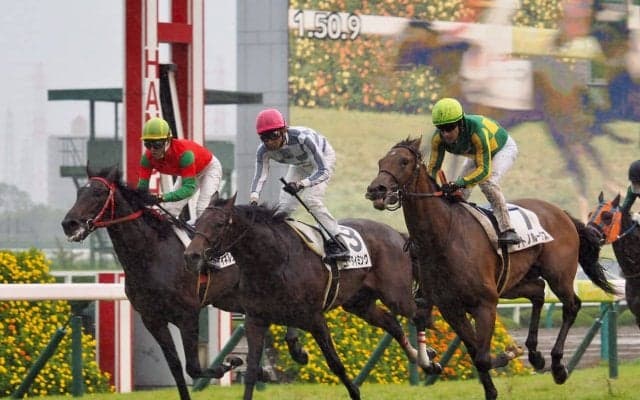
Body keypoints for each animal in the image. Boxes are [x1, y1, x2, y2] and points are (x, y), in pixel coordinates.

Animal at [60, 165, 309, 400]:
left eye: (99, 192)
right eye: (79, 192)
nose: (69, 223)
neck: (150, 254)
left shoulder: (187, 314)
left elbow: (194, 368)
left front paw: (232, 363)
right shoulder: (152, 319)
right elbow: (176, 368)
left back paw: (295, 349)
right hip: (235, 299)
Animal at [183, 193, 440, 400]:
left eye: (218, 224)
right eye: (197, 222)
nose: (192, 255)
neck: (274, 260)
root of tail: (396, 233)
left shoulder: (315, 318)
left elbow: (335, 363)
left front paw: (355, 392)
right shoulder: (255, 320)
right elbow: (252, 371)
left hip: (395, 295)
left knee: (419, 314)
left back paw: (429, 360)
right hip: (359, 304)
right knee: (392, 323)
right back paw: (421, 358)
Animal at [365, 138, 617, 400]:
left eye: (404, 161)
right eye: (381, 162)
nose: (376, 189)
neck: (444, 236)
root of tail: (562, 213)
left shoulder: (485, 303)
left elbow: (483, 358)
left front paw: (509, 353)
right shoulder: (451, 308)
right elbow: (475, 353)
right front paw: (494, 384)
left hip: (559, 275)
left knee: (571, 305)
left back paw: (557, 366)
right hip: (513, 283)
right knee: (538, 292)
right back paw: (535, 355)